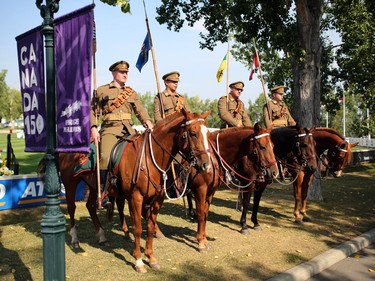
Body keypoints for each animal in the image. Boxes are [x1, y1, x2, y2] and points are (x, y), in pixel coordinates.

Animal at [110, 107, 213, 272]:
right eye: (193, 133)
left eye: (208, 134)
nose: (206, 166)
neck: (150, 160)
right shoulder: (135, 198)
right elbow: (138, 228)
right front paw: (139, 261)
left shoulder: (157, 199)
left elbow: (150, 226)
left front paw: (151, 258)